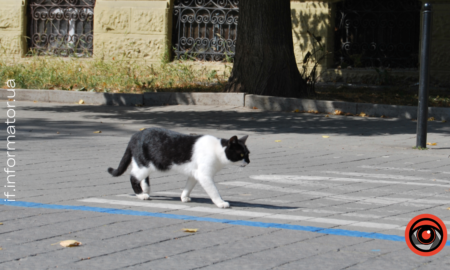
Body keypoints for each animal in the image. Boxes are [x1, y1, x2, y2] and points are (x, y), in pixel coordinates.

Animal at [107, 127, 251, 208]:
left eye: (248, 153)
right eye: (241, 154)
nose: (249, 162)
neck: (217, 150)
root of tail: (136, 135)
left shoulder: (195, 174)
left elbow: (188, 186)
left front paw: (184, 197)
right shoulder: (204, 176)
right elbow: (214, 191)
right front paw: (221, 203)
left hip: (144, 165)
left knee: (142, 177)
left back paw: (146, 190)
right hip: (145, 165)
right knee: (133, 177)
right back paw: (141, 195)